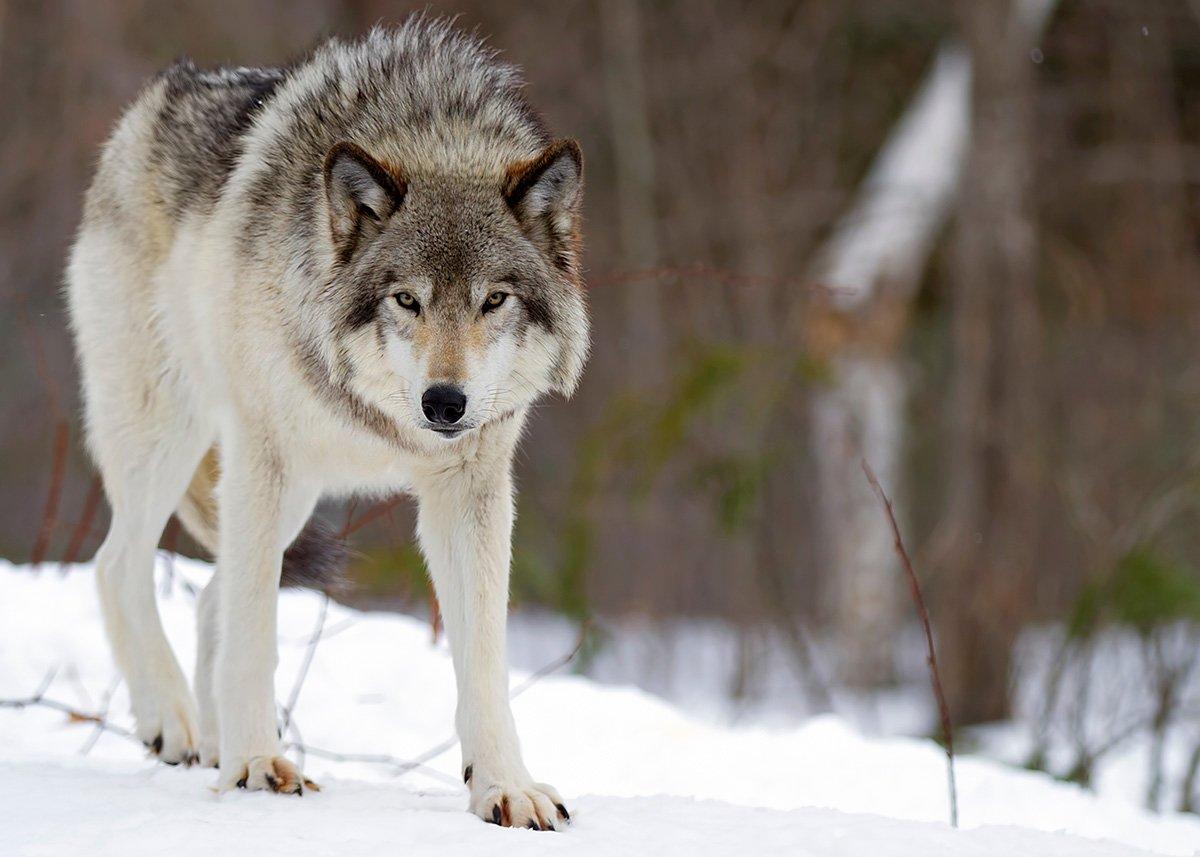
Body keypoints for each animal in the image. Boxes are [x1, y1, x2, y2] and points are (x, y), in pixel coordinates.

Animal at [66, 15, 590, 825]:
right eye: (406, 299)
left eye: (493, 300)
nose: (445, 402)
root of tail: (158, 96)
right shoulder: (263, 457)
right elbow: (255, 631)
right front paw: (256, 764)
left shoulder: (470, 490)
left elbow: (485, 660)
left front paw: (505, 786)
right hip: (176, 442)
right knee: (119, 564)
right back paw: (176, 723)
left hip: (282, 494)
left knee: (211, 594)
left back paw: (211, 738)